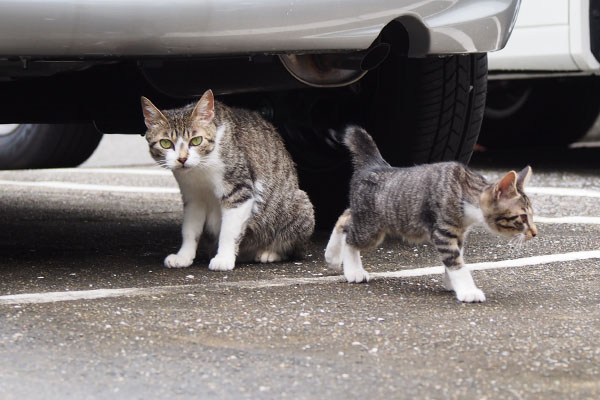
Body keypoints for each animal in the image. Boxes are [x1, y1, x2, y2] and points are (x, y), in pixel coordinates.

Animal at [142, 90, 316, 270]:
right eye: (165, 143)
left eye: (196, 140)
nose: (182, 159)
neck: (200, 170)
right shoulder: (193, 197)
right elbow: (190, 229)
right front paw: (184, 256)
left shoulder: (239, 190)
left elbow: (229, 230)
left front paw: (224, 258)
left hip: (299, 207)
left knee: (294, 248)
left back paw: (269, 253)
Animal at [326, 126, 536, 302]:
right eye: (523, 217)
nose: (535, 233)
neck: (464, 190)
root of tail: (376, 166)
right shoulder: (443, 232)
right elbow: (456, 262)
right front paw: (468, 291)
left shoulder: (459, 233)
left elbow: (457, 258)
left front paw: (452, 283)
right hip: (371, 227)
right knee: (350, 236)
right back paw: (353, 270)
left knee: (345, 216)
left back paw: (332, 256)